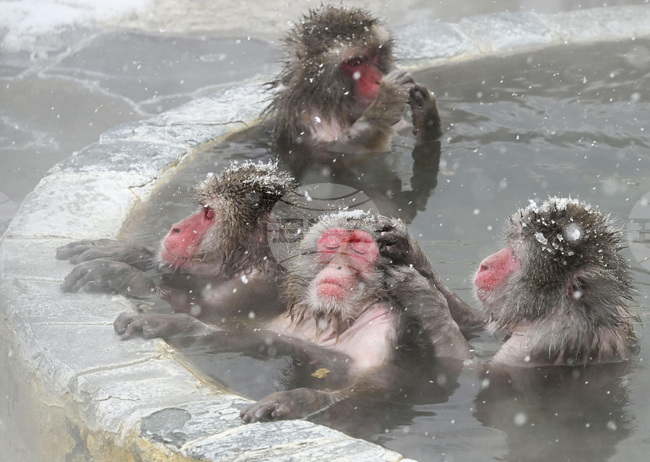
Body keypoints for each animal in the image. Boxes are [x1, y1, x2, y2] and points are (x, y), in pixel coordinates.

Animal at [57, 161, 295, 321]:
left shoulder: (255, 286)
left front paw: (120, 274)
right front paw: (121, 252)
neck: (243, 263)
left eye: (210, 214)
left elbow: (203, 313)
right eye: (203, 208)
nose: (176, 228)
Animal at [114, 211, 473, 422]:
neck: (336, 318)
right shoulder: (293, 324)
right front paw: (173, 322)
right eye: (333, 245)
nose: (339, 266)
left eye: (359, 250)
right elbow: (253, 337)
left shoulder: (385, 331)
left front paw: (297, 401)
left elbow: (377, 388)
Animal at [265, 5, 442, 167]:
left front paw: (426, 112)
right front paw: (385, 103)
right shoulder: (309, 120)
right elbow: (339, 153)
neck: (334, 104)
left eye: (375, 55)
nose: (379, 80)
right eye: (355, 62)